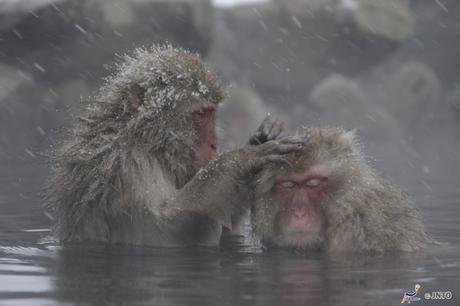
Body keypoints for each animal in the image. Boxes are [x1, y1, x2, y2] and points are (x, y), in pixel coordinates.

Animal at [45, 45, 302, 246]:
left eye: (211, 113)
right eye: (200, 114)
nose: (214, 144)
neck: (147, 142)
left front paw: (262, 137)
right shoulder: (125, 168)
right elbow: (162, 233)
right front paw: (244, 158)